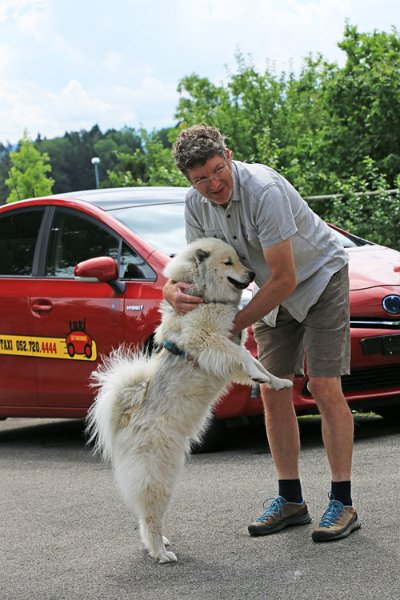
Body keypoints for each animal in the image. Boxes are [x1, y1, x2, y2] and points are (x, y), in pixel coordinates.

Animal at [86, 238, 290, 564]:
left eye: (239, 258)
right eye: (229, 262)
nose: (251, 275)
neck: (204, 296)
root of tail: (128, 415)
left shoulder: (227, 345)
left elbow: (255, 362)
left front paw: (277, 381)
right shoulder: (208, 339)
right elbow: (244, 356)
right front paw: (260, 376)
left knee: (145, 517)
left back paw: (158, 545)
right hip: (158, 474)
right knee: (150, 516)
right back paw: (160, 553)